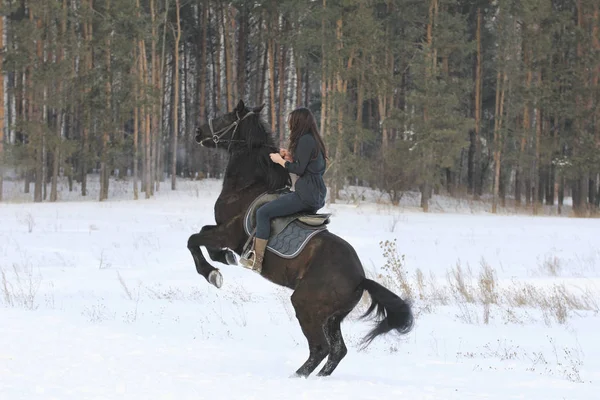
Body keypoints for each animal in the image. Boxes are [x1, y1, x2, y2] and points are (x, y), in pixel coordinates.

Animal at [188, 101, 412, 378]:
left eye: (227, 117)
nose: (198, 132)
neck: (247, 187)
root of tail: (360, 278)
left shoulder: (227, 233)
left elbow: (193, 240)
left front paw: (212, 274)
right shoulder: (223, 232)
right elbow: (205, 239)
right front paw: (225, 259)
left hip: (306, 306)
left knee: (320, 348)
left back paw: (296, 377)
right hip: (331, 317)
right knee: (337, 351)